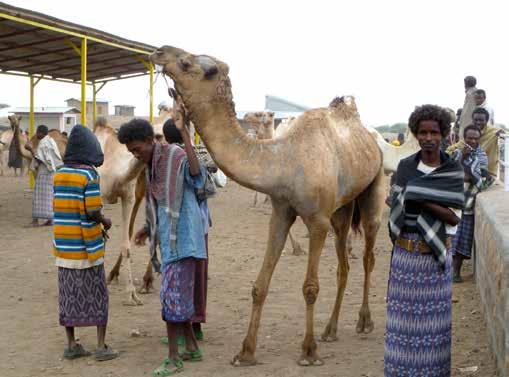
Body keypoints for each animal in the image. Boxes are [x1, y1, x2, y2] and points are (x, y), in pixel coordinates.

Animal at [151, 45, 384, 366]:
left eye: (187, 63)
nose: (159, 52)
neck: (283, 161)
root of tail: (369, 135)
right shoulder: (281, 212)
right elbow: (259, 286)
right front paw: (245, 352)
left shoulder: (317, 221)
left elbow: (310, 288)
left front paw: (308, 352)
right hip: (341, 209)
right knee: (343, 265)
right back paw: (330, 329)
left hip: (374, 187)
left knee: (368, 255)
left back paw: (364, 322)